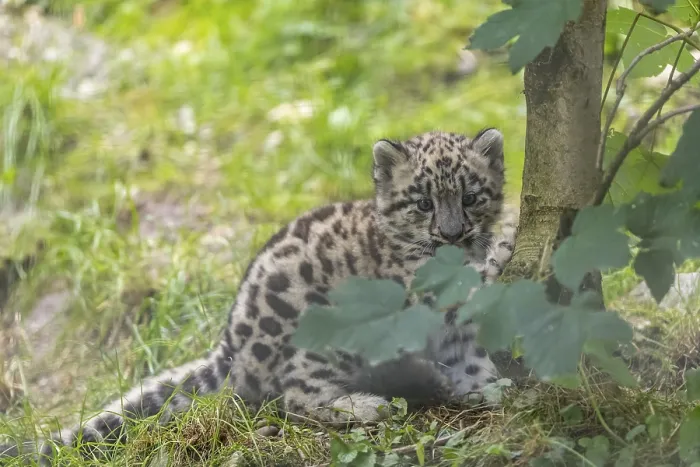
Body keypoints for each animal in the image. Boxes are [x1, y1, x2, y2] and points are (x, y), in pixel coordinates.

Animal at [0, 128, 518, 465]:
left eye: (470, 196)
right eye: (423, 202)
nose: (451, 235)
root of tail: (231, 346)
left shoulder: (457, 330)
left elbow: (470, 351)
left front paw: (490, 386)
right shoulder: (417, 294)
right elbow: (466, 284)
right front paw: (507, 240)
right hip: (321, 340)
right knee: (296, 394)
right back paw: (370, 404)